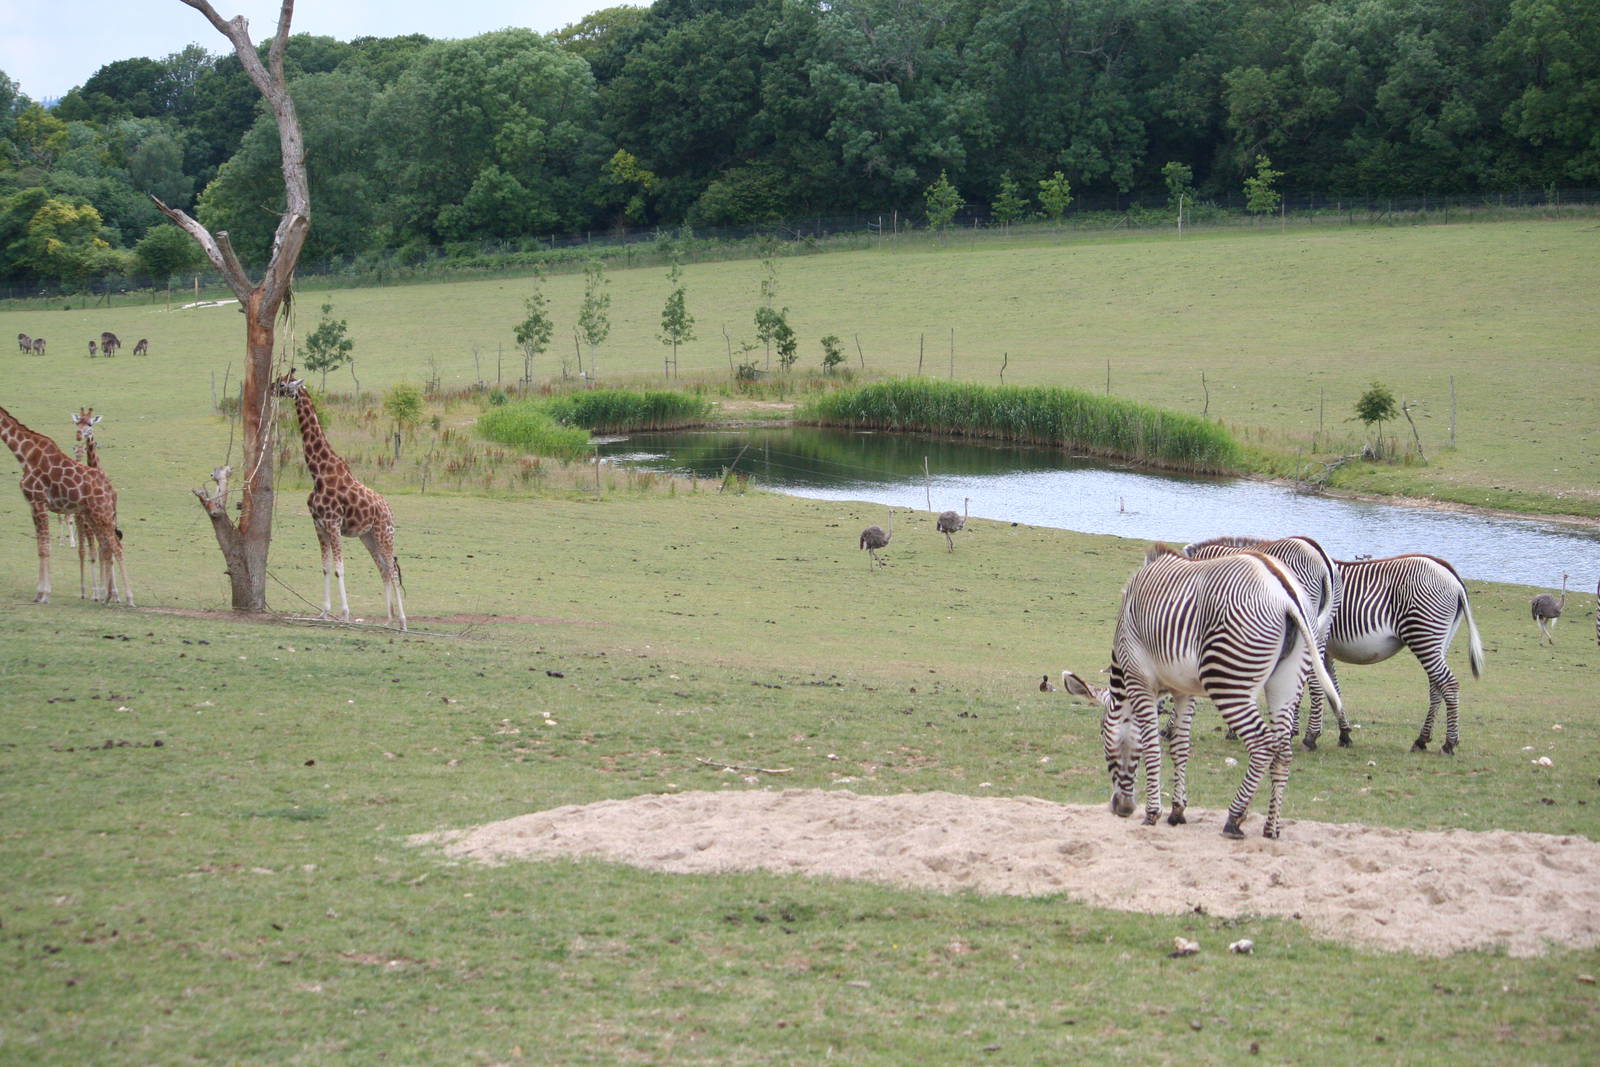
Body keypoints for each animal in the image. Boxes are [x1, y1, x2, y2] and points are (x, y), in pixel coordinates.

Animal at [0, 402, 132, 605]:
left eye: (90, 424)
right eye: (77, 422)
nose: (78, 435)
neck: (25, 455)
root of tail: (110, 489)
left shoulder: (39, 502)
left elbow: (45, 548)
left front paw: (44, 594)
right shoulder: (34, 505)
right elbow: (41, 547)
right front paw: (40, 593)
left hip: (102, 514)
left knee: (116, 547)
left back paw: (127, 598)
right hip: (95, 516)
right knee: (106, 547)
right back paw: (107, 596)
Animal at [273, 371, 407, 630]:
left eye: (283, 383)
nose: (270, 388)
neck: (318, 473)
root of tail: (390, 511)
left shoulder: (333, 524)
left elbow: (339, 569)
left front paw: (344, 614)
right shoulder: (319, 525)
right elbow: (326, 568)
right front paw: (324, 612)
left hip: (384, 534)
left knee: (393, 570)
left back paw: (403, 622)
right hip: (368, 536)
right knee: (383, 569)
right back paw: (388, 620)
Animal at [1306, 554, 1484, 755]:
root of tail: (1450, 572)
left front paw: (1308, 735)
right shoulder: (1325, 650)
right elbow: (1333, 689)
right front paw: (1344, 734)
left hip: (1424, 634)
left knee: (1448, 683)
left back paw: (1449, 743)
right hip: (1441, 640)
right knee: (1437, 686)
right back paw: (1422, 740)